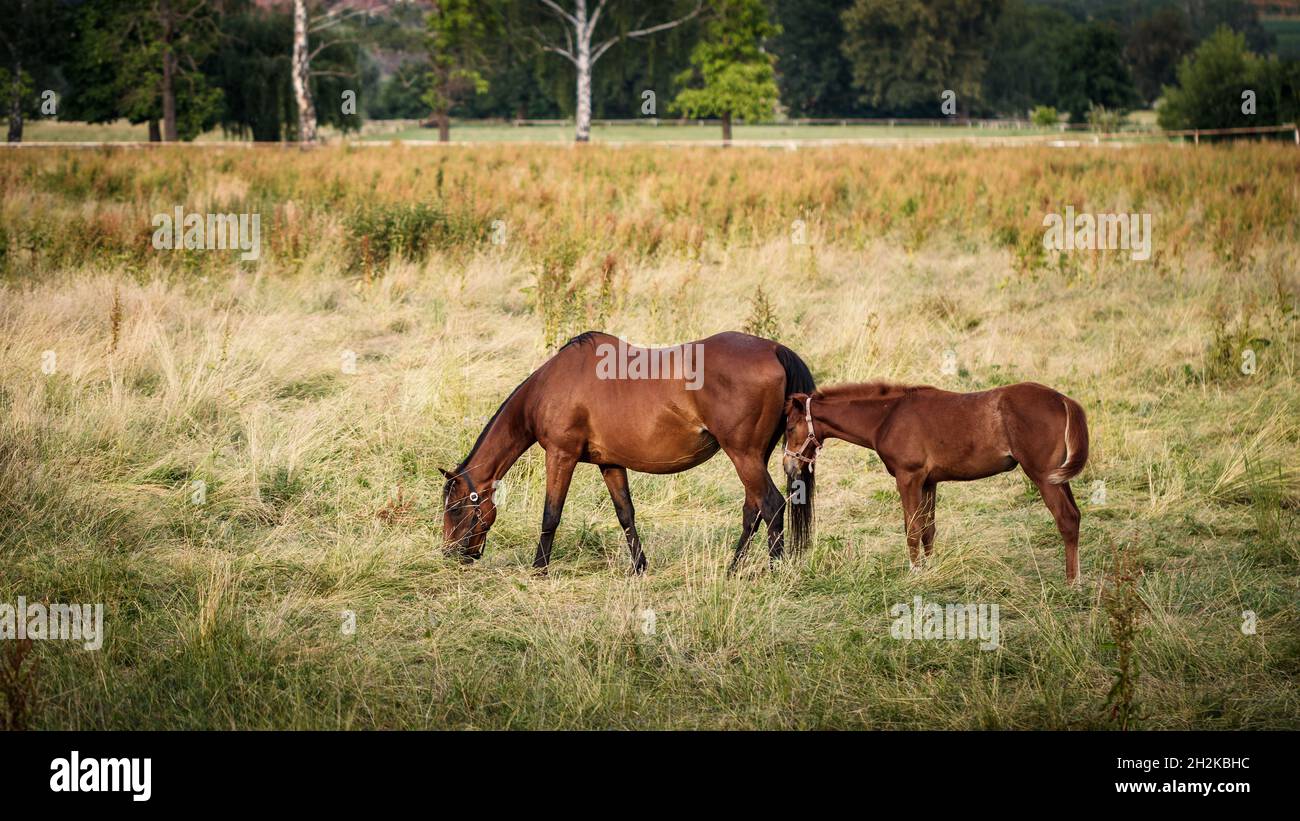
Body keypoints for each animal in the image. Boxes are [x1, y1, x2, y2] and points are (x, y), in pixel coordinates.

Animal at [441, 331, 817, 574]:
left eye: (455, 509)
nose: (451, 555)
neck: (551, 387)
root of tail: (775, 350)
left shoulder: (560, 456)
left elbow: (551, 514)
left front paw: (539, 568)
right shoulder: (610, 464)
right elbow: (626, 514)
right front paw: (639, 567)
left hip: (743, 456)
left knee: (771, 505)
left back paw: (773, 570)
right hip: (753, 458)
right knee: (753, 511)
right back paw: (733, 568)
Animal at [782, 381, 1088, 582]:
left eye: (790, 427)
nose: (789, 466)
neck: (888, 415)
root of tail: (1064, 401)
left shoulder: (909, 478)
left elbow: (912, 528)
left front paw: (915, 571)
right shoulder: (929, 483)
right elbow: (928, 530)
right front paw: (930, 569)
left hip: (1043, 476)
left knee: (1066, 518)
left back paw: (1071, 582)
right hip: (1059, 477)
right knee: (1075, 516)